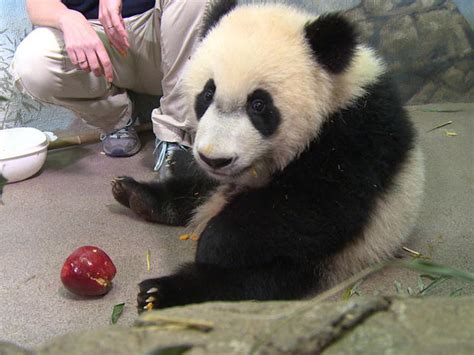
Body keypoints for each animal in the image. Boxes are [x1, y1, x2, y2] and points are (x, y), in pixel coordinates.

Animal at [111, 0, 426, 312]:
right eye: (208, 93)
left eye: (259, 105)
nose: (214, 159)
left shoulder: (356, 133)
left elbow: (315, 204)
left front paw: (214, 242)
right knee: (193, 191)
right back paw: (137, 195)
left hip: (329, 254)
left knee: (247, 281)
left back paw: (161, 292)